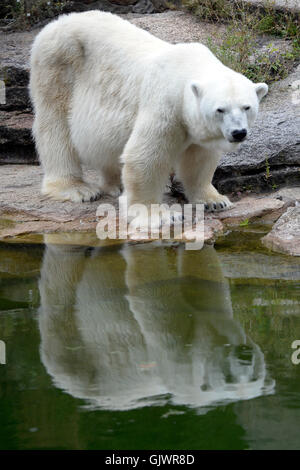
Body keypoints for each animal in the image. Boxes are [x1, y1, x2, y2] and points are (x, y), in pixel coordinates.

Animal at [29, 11, 268, 214]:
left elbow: (199, 159)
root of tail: (56, 23)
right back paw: (76, 188)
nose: (238, 132)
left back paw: (114, 185)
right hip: (58, 66)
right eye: (220, 109)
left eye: (247, 107)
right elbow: (146, 157)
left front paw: (215, 201)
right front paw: (152, 214)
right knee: (55, 127)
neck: (188, 70)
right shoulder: (166, 105)